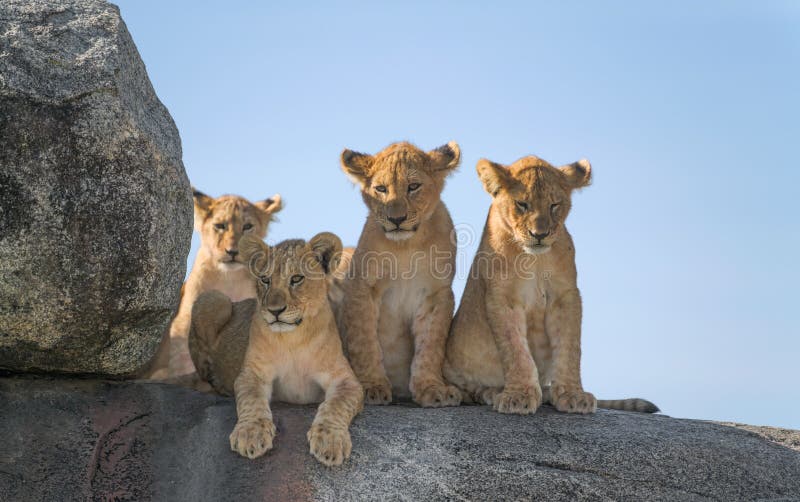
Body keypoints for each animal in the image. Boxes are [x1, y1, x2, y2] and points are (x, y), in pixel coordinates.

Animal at [204, 232, 363, 466]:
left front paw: (330, 441)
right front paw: (251, 434)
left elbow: (337, 405)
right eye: (265, 280)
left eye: (296, 279)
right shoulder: (253, 374)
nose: (275, 311)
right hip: (214, 299)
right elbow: (251, 400)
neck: (293, 339)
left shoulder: (347, 381)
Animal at [332, 141, 462, 407]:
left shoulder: (436, 294)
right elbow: (364, 341)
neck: (405, 246)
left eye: (413, 187)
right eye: (381, 189)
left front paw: (431, 388)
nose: (397, 219)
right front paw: (371, 386)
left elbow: (430, 346)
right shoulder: (362, 287)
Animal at [443, 155, 658, 414]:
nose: (540, 234)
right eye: (522, 204)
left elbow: (569, 347)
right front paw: (519, 395)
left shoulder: (565, 296)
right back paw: (490, 392)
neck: (535, 258)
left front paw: (572, 394)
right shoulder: (502, 298)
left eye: (554, 205)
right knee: (468, 389)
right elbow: (515, 348)